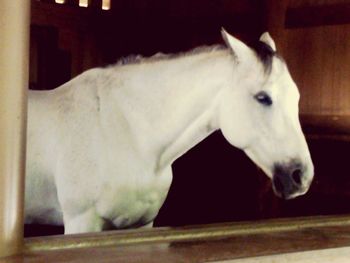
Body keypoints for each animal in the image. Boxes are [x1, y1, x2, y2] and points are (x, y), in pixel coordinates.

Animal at [24, 29, 314, 235]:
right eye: (263, 98)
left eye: (297, 97)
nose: (302, 177)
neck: (126, 134)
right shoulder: (81, 222)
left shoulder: (142, 224)